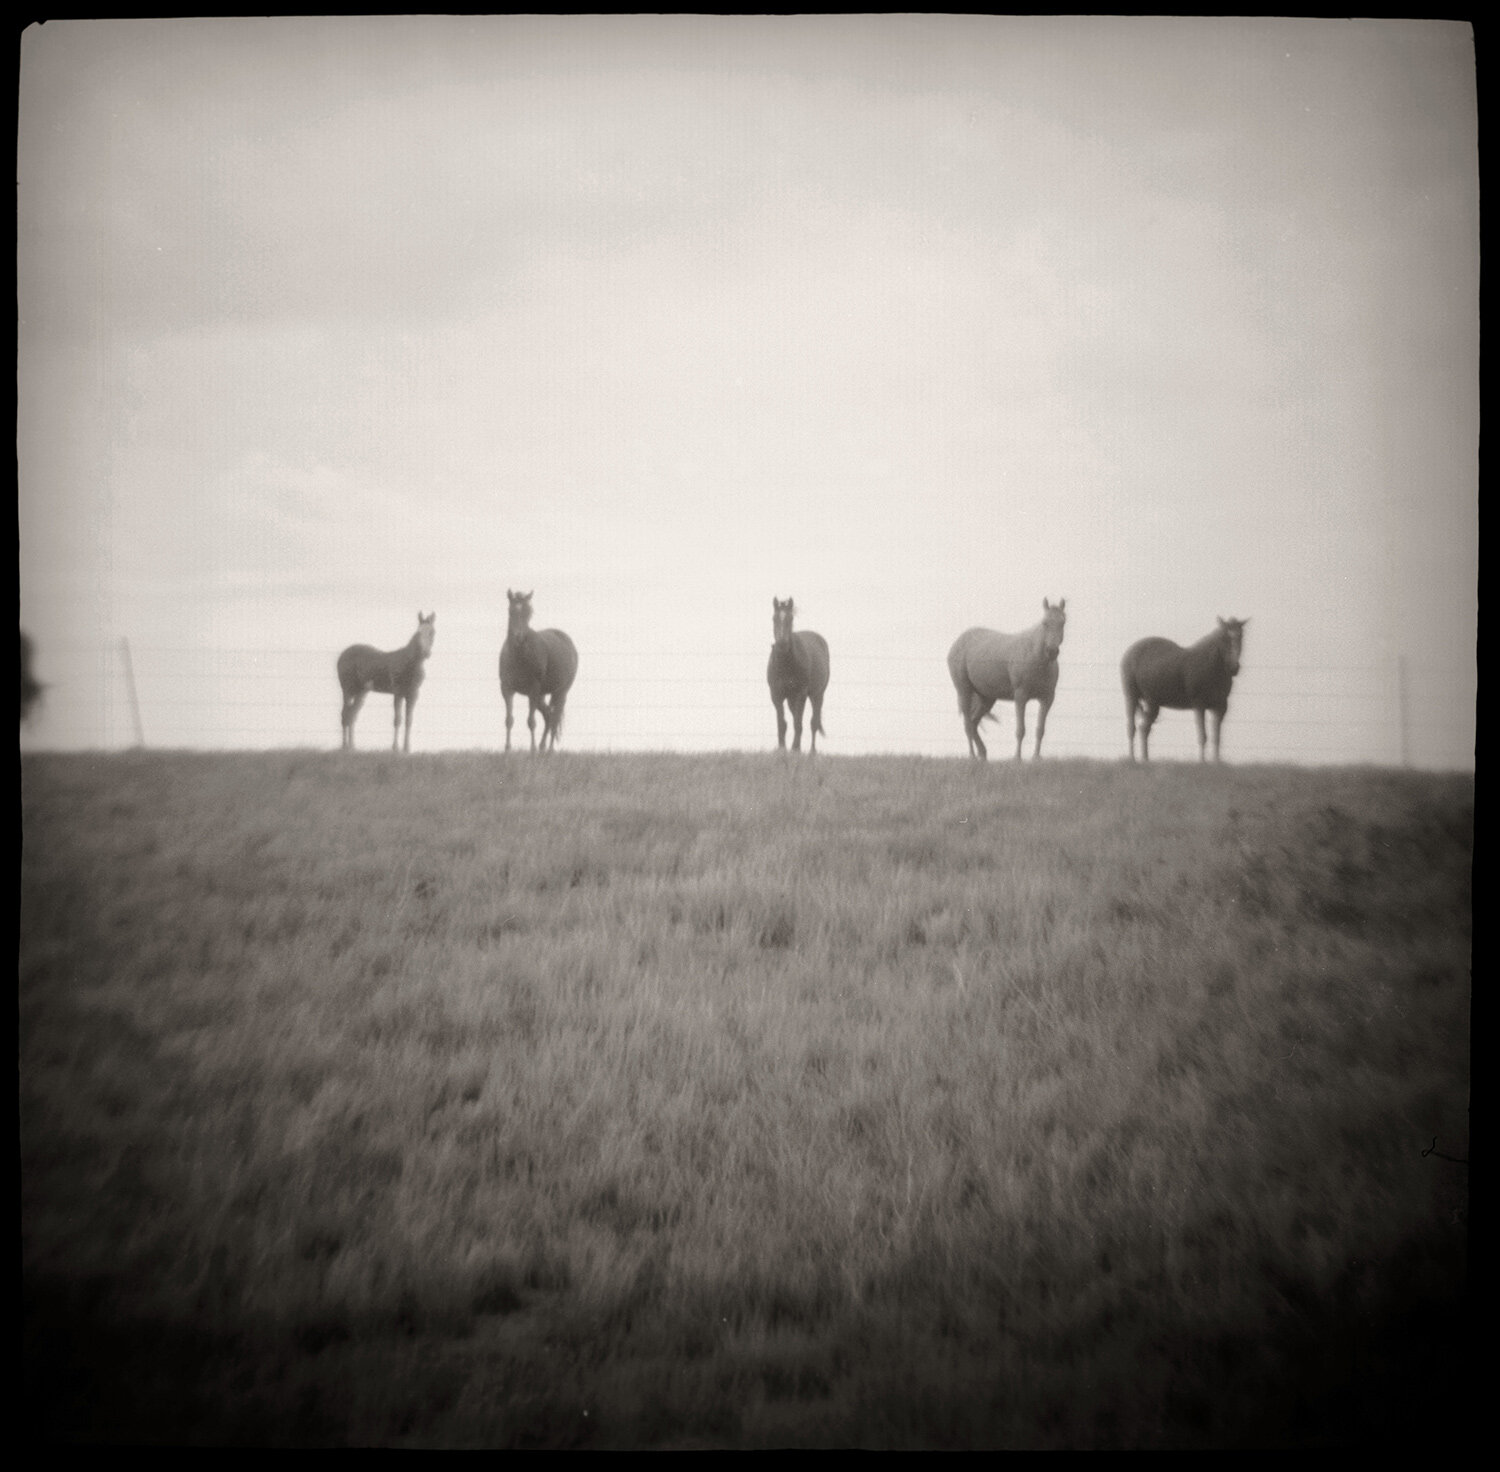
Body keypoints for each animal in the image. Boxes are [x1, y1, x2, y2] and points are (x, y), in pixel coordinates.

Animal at [337, 612, 435, 752]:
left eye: (432, 632)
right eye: (419, 632)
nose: (425, 653)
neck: (411, 663)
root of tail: (342, 656)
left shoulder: (413, 695)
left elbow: (409, 720)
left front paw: (406, 748)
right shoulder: (398, 693)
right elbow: (397, 719)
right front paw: (395, 748)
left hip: (361, 691)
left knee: (352, 715)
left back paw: (352, 746)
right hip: (347, 689)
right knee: (345, 715)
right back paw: (344, 747)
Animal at [500, 590, 578, 753]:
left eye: (529, 612)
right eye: (511, 611)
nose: (519, 637)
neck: (519, 657)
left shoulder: (533, 690)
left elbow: (531, 721)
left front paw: (533, 748)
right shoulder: (506, 689)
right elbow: (509, 720)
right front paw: (507, 748)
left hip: (560, 692)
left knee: (555, 716)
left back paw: (549, 749)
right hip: (541, 696)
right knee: (548, 715)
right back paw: (543, 746)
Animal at [767, 597, 830, 754]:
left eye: (790, 618)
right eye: (774, 618)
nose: (782, 644)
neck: (786, 664)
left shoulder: (801, 694)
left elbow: (798, 723)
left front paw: (795, 749)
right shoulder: (776, 695)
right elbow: (782, 724)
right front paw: (782, 748)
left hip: (817, 695)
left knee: (813, 722)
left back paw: (812, 751)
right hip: (791, 699)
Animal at [947, 598, 1067, 761]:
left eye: (1062, 623)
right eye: (1045, 623)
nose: (1052, 651)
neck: (1034, 656)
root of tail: (958, 643)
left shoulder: (1047, 698)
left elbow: (1040, 729)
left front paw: (1036, 758)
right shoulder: (1021, 696)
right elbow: (1020, 730)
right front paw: (1017, 758)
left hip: (987, 698)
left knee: (973, 723)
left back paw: (983, 754)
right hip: (964, 691)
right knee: (967, 724)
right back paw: (972, 756)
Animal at [1121, 617, 1248, 763]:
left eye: (1241, 636)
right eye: (1224, 637)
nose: (1234, 668)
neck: (1213, 667)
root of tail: (1129, 652)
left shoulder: (1220, 707)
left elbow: (1217, 737)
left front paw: (1216, 761)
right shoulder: (1199, 705)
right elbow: (1202, 735)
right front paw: (1202, 762)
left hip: (1153, 703)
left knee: (1144, 728)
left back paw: (1145, 760)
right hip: (1131, 697)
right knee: (1132, 728)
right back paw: (1132, 759)